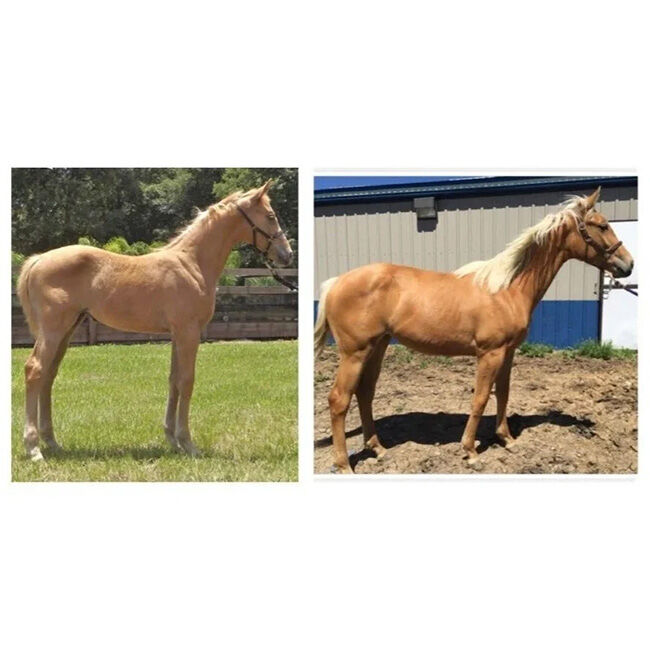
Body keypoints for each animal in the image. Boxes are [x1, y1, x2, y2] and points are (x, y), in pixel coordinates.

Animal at [17, 179, 293, 461]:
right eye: (270, 216)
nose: (287, 254)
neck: (192, 264)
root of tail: (38, 260)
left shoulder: (177, 333)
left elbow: (174, 380)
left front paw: (172, 440)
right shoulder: (188, 331)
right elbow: (187, 381)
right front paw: (188, 443)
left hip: (67, 330)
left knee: (48, 375)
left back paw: (52, 443)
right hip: (53, 330)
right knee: (35, 370)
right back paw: (33, 448)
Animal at [314, 188, 634, 473]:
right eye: (602, 225)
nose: (628, 265)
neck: (507, 289)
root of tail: (335, 283)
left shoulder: (508, 352)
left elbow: (503, 392)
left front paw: (506, 439)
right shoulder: (489, 353)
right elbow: (480, 398)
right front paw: (470, 451)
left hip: (377, 346)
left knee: (364, 393)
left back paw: (378, 449)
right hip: (355, 352)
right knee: (338, 399)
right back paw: (343, 465)